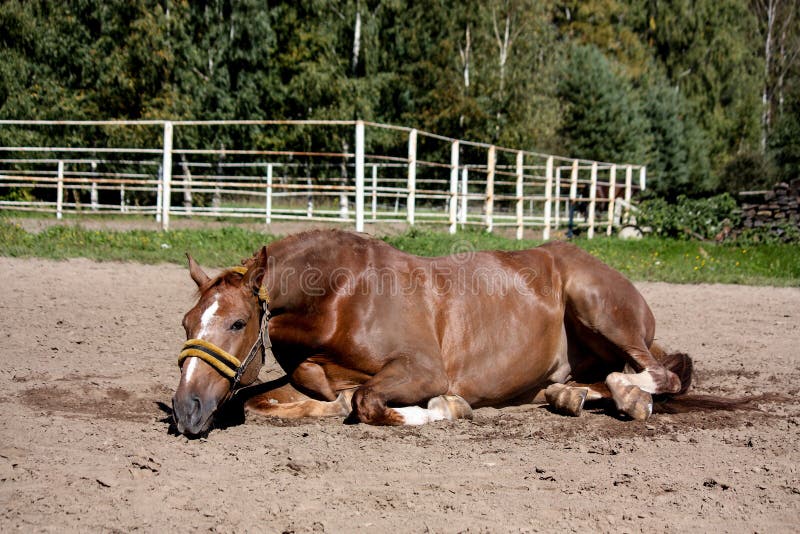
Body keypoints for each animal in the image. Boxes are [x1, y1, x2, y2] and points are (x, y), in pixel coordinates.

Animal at [172, 232, 692, 438]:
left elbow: (367, 401)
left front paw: (444, 409)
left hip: (600, 310)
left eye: (237, 323)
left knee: (657, 373)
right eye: (187, 323)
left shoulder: (423, 371)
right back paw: (569, 396)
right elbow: (256, 402)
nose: (186, 411)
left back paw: (632, 397)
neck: (339, 299)